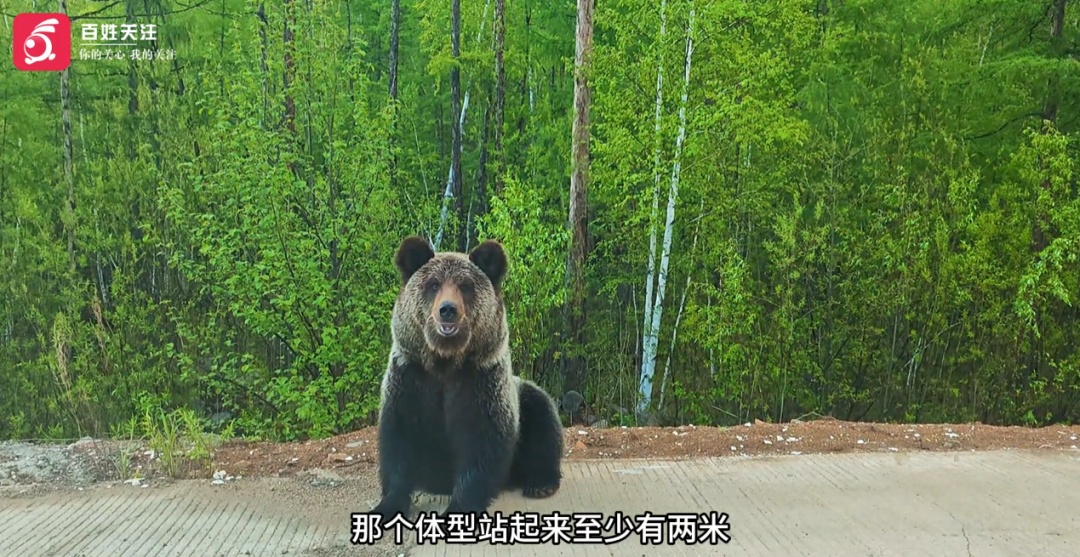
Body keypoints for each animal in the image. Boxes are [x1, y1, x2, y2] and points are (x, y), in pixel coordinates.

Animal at [369, 235, 565, 522]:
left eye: (465, 286)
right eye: (434, 284)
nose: (447, 310)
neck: (445, 363)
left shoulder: (481, 382)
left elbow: (482, 445)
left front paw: (458, 508)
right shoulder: (410, 378)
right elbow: (399, 441)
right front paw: (387, 505)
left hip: (524, 396)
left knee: (543, 418)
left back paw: (541, 483)